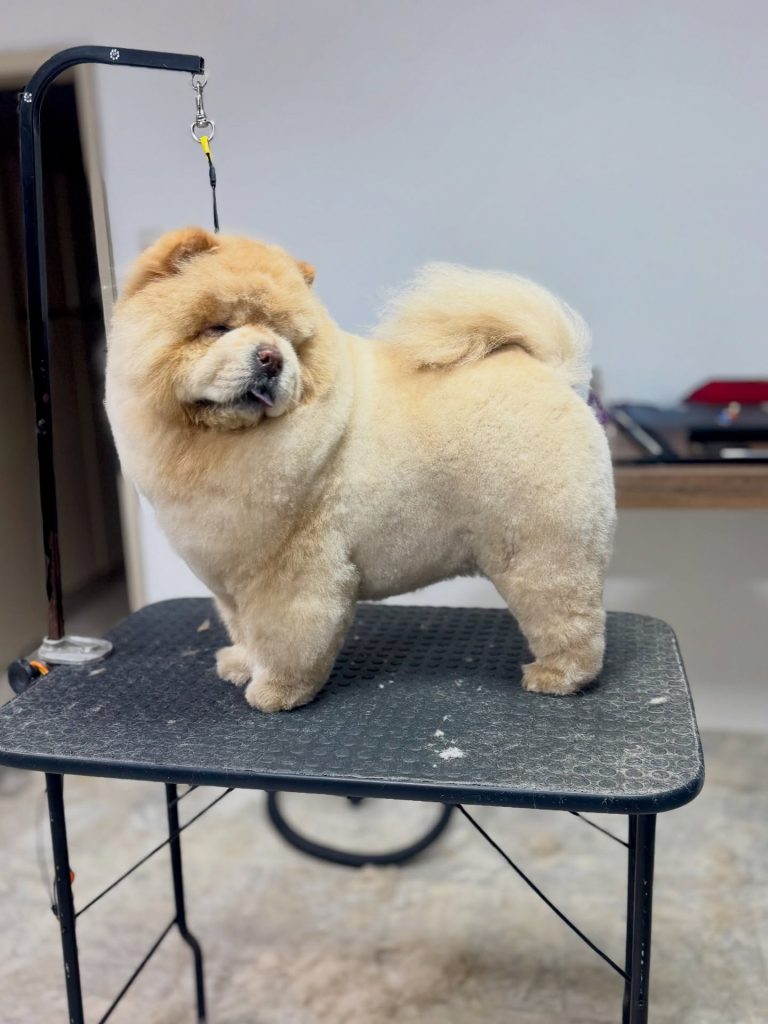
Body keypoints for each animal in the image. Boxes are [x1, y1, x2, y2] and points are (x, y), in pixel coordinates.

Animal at [106, 228, 615, 712]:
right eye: (217, 328)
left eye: (292, 342)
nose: (272, 357)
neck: (215, 443)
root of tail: (556, 375)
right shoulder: (232, 581)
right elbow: (245, 632)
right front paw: (241, 665)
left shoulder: (289, 573)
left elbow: (286, 639)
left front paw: (277, 692)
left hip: (541, 549)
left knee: (569, 618)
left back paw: (557, 676)